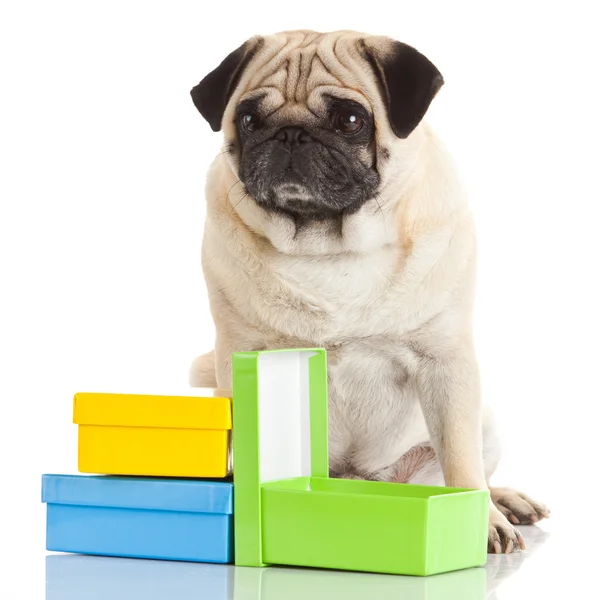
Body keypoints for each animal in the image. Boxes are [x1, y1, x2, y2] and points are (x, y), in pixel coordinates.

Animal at [188, 29, 548, 552]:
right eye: (249, 120)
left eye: (351, 120)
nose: (290, 134)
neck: (330, 248)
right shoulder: (240, 356)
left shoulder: (447, 364)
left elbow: (462, 465)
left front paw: (480, 525)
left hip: (483, 421)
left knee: (473, 471)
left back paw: (506, 502)